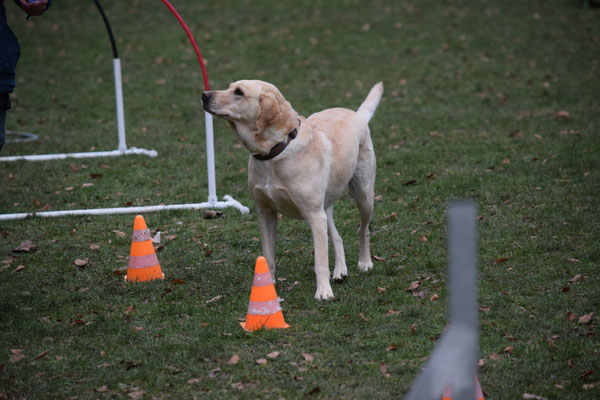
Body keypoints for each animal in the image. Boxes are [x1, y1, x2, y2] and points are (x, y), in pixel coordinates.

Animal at [203, 80, 384, 300]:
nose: (203, 95)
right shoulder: (266, 213)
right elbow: (268, 256)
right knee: (337, 237)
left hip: (363, 196)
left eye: (239, 92)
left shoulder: (314, 216)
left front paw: (323, 292)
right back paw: (340, 271)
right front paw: (267, 287)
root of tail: (357, 115)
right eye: (230, 87)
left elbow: (320, 261)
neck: (274, 152)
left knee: (363, 229)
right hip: (326, 207)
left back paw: (365, 262)